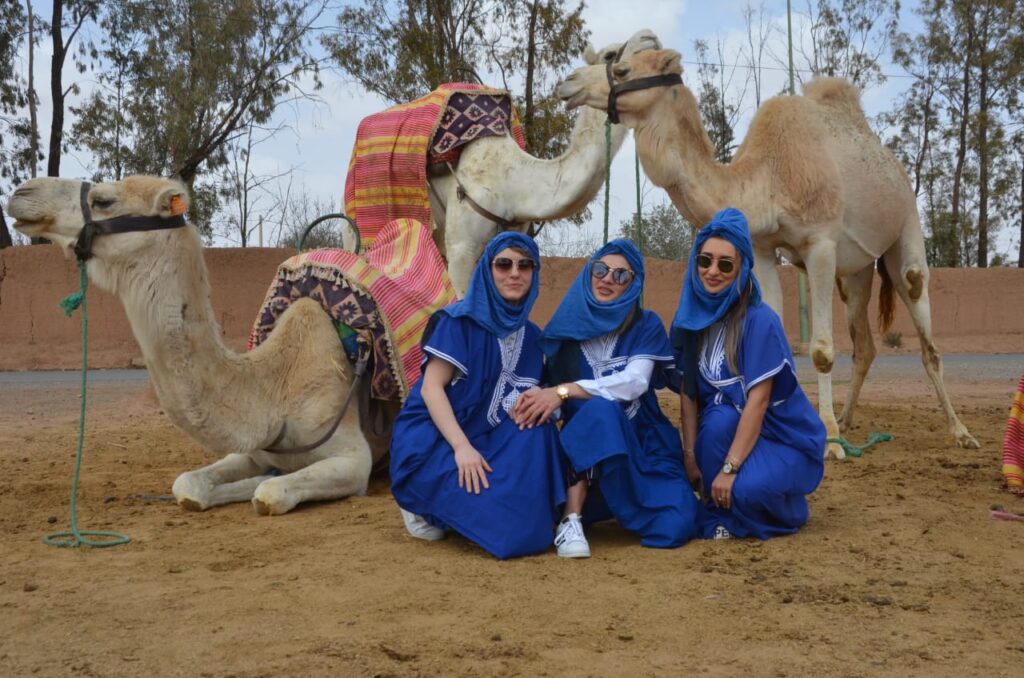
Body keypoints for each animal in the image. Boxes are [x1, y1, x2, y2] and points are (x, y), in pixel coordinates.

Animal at [11, 175, 399, 516]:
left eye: (103, 200)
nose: (21, 192)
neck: (275, 391)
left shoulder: (353, 459)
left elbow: (270, 492)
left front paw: (265, 483)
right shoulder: (254, 451)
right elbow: (188, 485)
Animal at [561, 50, 983, 458]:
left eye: (622, 67)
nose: (569, 83)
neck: (769, 178)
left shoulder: (820, 244)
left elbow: (822, 351)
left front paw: (829, 440)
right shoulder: (763, 248)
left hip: (906, 226)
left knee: (922, 319)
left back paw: (960, 432)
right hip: (856, 273)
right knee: (864, 344)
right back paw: (848, 421)